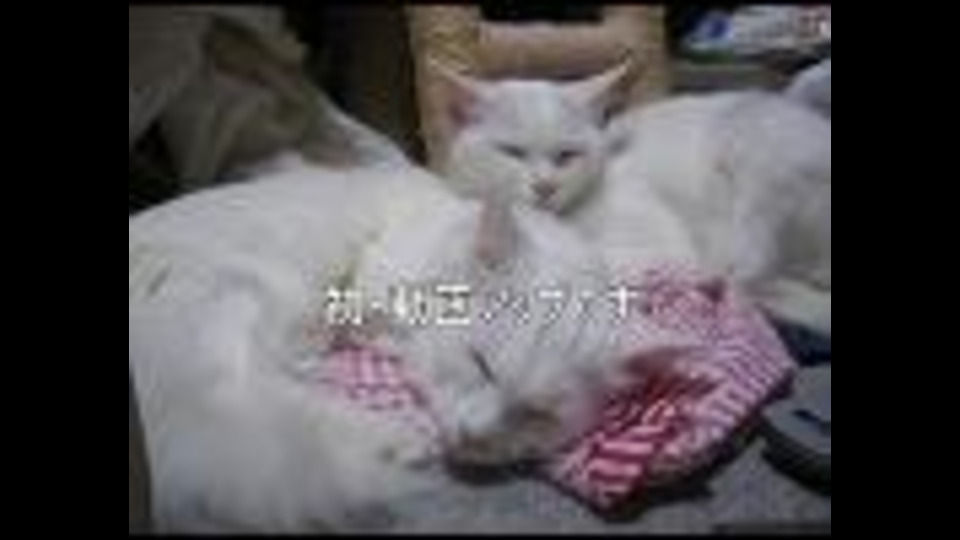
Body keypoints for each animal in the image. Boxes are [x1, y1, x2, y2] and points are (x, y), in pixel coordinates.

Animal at [129, 160, 672, 531]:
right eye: (479, 364)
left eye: (536, 414)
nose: (473, 436)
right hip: (239, 299)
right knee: (248, 396)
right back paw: (395, 439)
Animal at [437, 61, 831, 334]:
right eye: (512, 152)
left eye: (567, 155)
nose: (545, 186)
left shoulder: (660, 245)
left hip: (752, 149)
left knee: (745, 274)